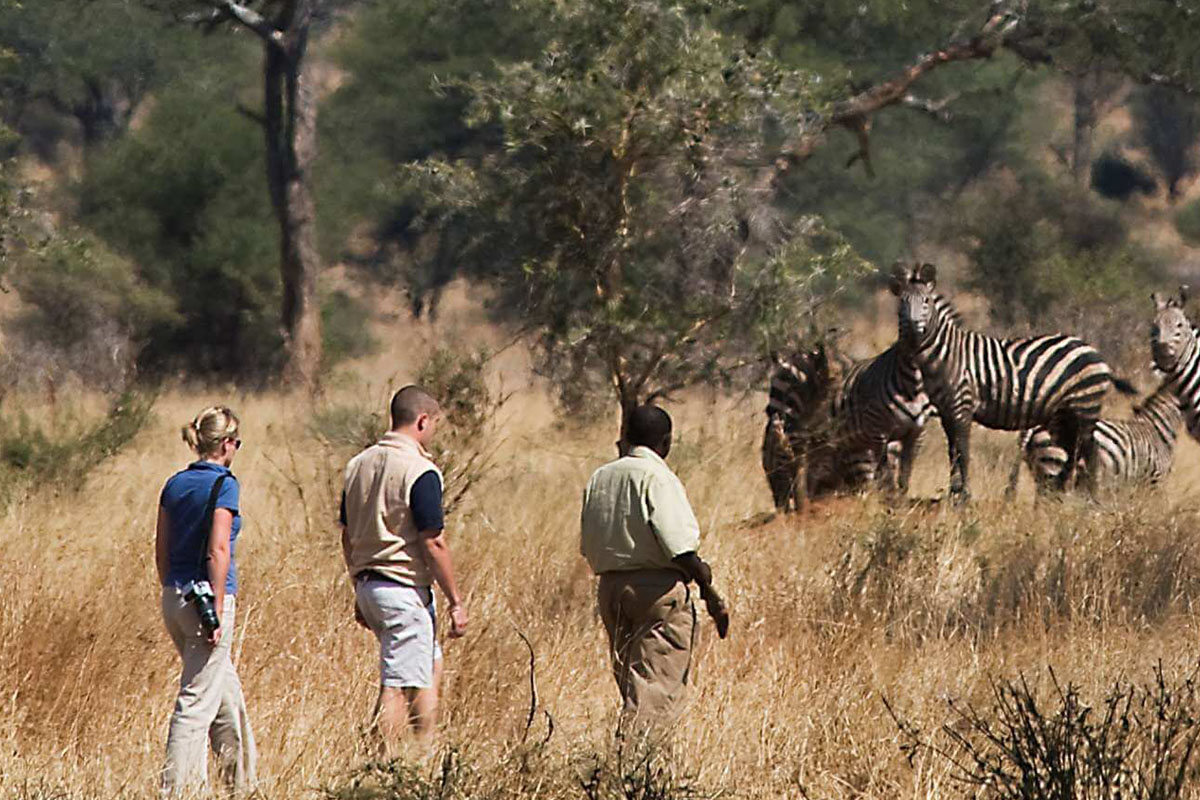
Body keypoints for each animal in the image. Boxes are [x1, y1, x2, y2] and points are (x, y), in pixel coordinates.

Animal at [892, 262, 1132, 501]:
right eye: (903, 302)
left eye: (926, 301)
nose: (913, 327)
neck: (947, 353)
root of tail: (1093, 350)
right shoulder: (946, 412)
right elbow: (952, 453)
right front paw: (955, 492)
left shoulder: (962, 407)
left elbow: (963, 452)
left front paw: (964, 496)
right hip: (1064, 415)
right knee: (1073, 453)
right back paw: (1061, 493)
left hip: (1084, 407)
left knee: (1090, 454)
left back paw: (1090, 498)